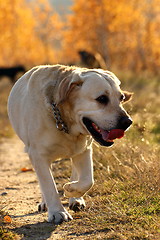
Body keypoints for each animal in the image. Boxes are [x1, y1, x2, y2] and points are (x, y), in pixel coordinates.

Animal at [7, 64, 132, 224]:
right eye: (102, 98)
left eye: (121, 98)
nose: (128, 122)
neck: (64, 122)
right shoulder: (37, 155)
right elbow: (48, 185)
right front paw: (57, 212)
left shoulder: (84, 149)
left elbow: (87, 180)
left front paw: (71, 190)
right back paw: (45, 203)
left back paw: (76, 199)